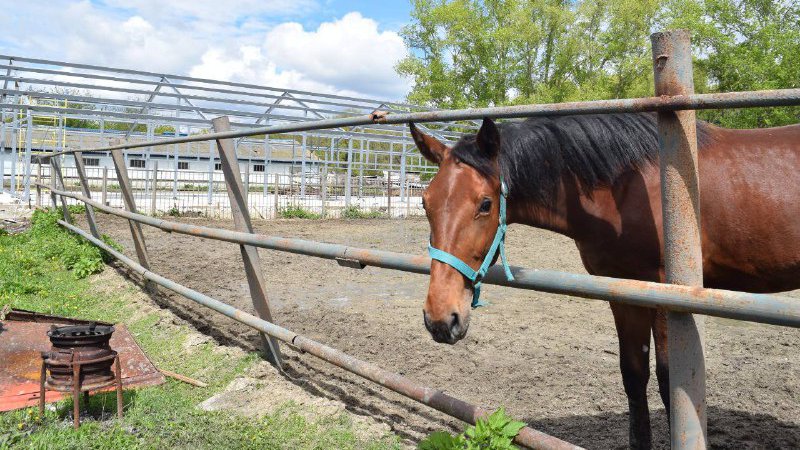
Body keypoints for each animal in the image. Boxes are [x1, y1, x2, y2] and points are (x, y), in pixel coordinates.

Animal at [410, 113, 800, 450]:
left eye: (485, 204)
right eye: (426, 203)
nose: (441, 319)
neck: (625, 188)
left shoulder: (665, 294)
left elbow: (669, 381)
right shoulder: (623, 292)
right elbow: (634, 375)